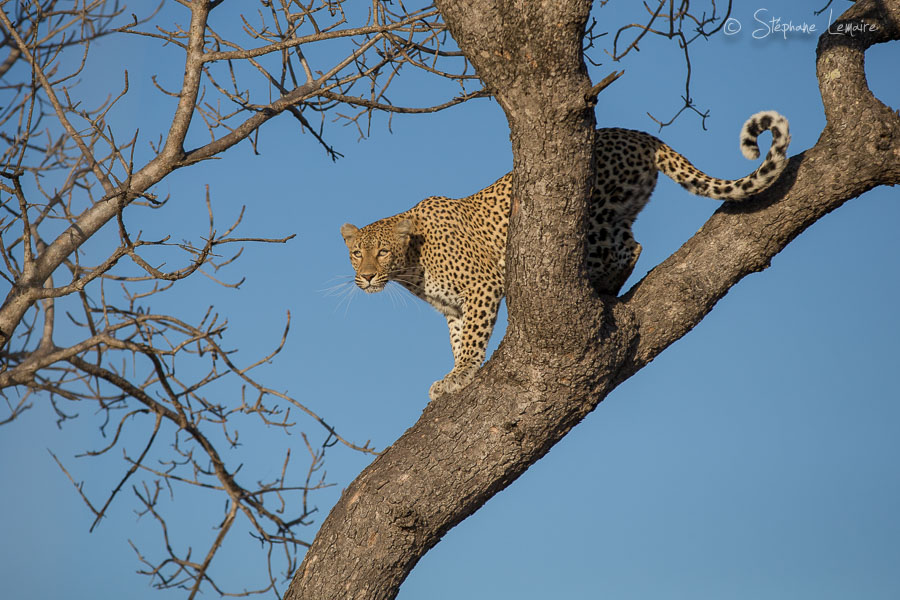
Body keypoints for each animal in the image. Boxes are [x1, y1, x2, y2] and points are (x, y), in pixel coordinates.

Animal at [341, 110, 790, 400]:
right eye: (356, 254)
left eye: (382, 252)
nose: (366, 276)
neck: (410, 269)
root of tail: (639, 135)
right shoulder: (453, 307)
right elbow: (458, 336)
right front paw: (455, 374)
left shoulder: (483, 287)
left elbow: (471, 338)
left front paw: (462, 374)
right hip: (616, 212)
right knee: (631, 242)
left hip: (594, 214)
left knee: (628, 248)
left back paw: (600, 287)